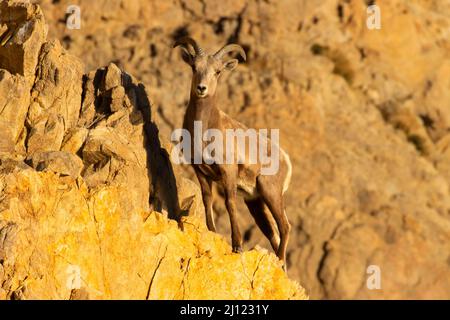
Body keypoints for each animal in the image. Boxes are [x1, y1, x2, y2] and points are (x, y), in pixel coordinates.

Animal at [172, 38, 292, 272]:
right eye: (194, 67)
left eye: (217, 72)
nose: (201, 88)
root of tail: (286, 162)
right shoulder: (201, 172)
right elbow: (207, 199)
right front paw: (211, 230)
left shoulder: (227, 172)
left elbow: (229, 203)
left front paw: (237, 246)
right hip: (256, 203)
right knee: (273, 233)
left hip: (271, 193)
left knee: (284, 227)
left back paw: (281, 261)